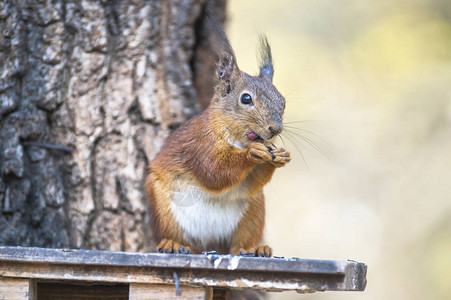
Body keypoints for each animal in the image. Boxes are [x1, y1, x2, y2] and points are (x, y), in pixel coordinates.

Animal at [147, 15, 292, 258]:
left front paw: (280, 156)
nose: (275, 129)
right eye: (246, 99)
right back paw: (172, 244)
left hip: (253, 212)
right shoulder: (200, 144)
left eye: (283, 101)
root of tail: (209, 246)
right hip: (163, 210)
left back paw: (254, 249)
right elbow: (214, 171)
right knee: (176, 237)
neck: (236, 140)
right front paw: (252, 153)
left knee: (239, 245)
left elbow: (252, 182)